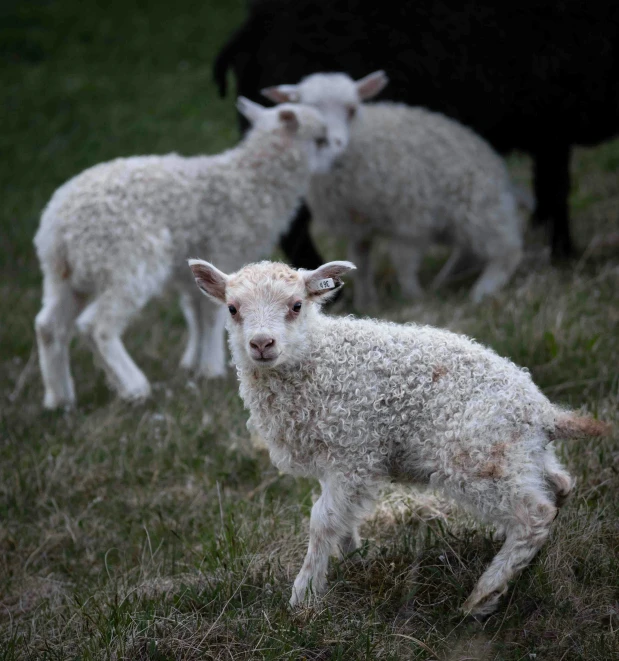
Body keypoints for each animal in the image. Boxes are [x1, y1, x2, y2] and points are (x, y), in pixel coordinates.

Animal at [34, 97, 334, 408]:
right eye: (320, 139)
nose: (338, 156)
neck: (253, 180)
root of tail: (58, 228)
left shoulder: (194, 268)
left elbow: (195, 313)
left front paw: (194, 364)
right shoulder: (224, 249)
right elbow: (212, 315)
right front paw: (212, 368)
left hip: (63, 276)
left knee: (48, 325)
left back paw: (59, 398)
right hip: (128, 263)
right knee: (97, 325)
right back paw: (134, 386)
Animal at [188, 256, 612, 612]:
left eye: (295, 306)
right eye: (232, 308)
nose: (262, 344)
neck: (319, 359)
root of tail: (541, 410)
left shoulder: (352, 451)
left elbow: (322, 520)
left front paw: (302, 596)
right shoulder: (338, 458)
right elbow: (340, 518)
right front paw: (352, 558)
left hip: (476, 457)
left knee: (535, 513)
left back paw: (482, 596)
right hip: (516, 455)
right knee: (559, 485)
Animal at [216, 0, 619, 262]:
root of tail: (253, 26)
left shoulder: (550, 124)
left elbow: (548, 192)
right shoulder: (553, 115)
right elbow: (556, 189)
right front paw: (562, 255)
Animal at [264, 72, 524, 310]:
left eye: (352, 110)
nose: (334, 142)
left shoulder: (409, 217)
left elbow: (403, 263)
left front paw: (414, 298)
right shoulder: (357, 223)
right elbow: (360, 261)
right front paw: (366, 303)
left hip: (478, 208)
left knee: (506, 250)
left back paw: (482, 290)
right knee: (468, 252)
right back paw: (445, 281)